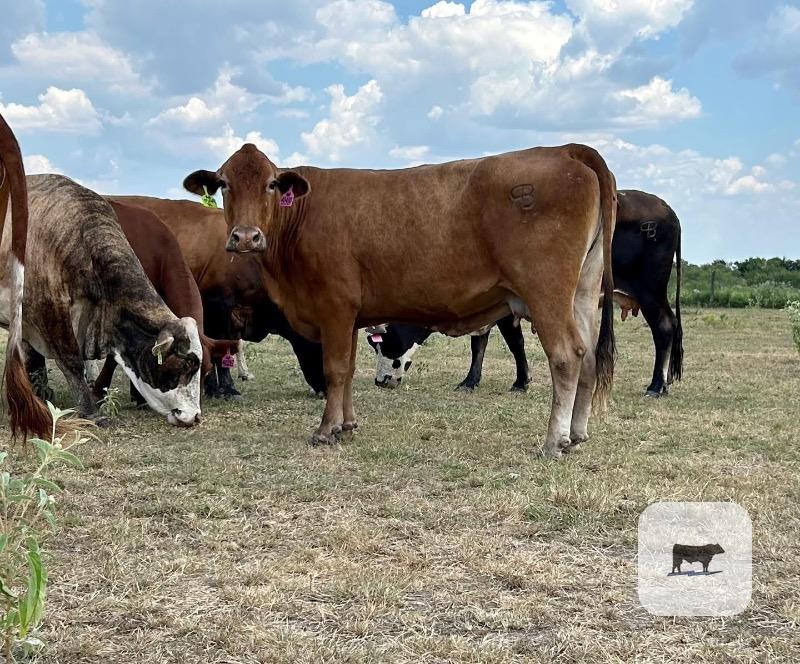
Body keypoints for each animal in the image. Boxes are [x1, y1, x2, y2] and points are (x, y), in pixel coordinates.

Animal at [183, 142, 617, 458]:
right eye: (223, 183)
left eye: (272, 184)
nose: (246, 237)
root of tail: (565, 150)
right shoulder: (351, 315)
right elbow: (349, 370)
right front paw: (346, 425)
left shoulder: (334, 306)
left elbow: (334, 370)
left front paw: (325, 430)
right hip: (582, 292)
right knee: (588, 358)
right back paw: (577, 434)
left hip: (546, 293)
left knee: (567, 356)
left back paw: (554, 440)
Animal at [366, 189, 683, 397]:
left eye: (384, 341)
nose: (380, 381)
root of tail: (666, 207)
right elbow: (479, 345)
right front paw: (470, 381)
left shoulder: (507, 308)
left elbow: (514, 343)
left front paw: (520, 382)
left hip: (650, 292)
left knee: (665, 328)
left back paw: (656, 385)